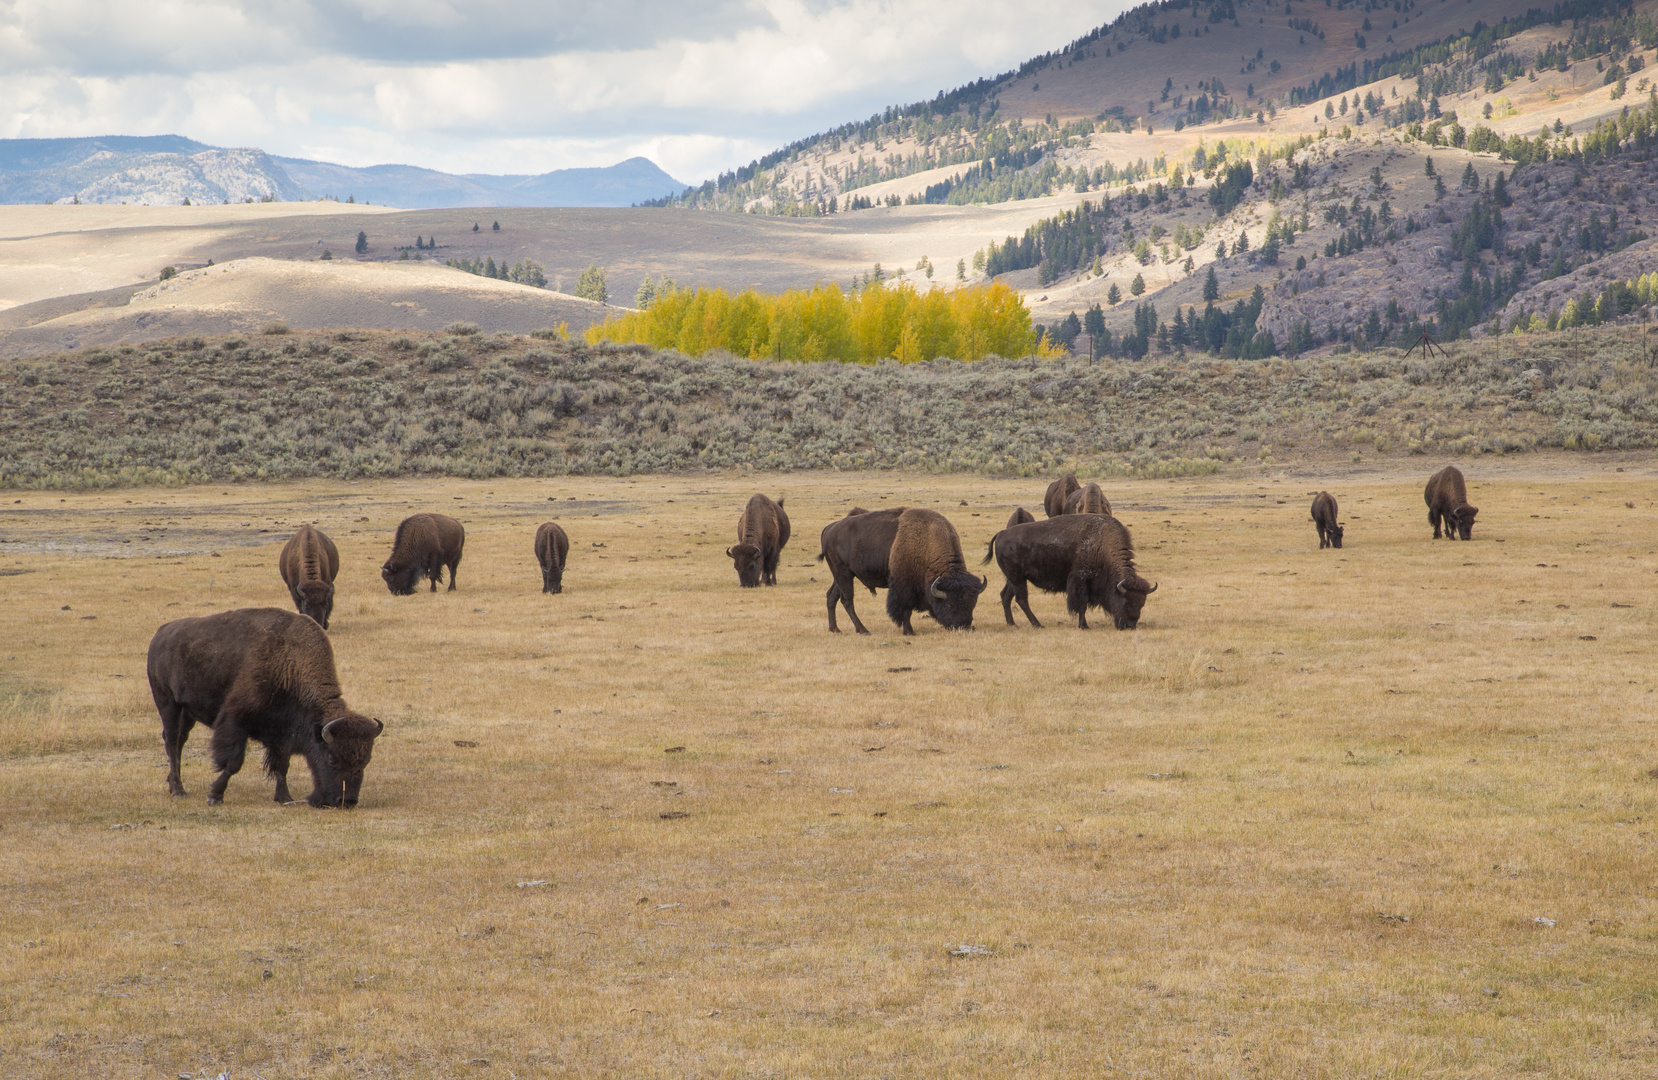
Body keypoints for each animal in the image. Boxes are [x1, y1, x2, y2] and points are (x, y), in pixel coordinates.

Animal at [145, 613, 384, 806]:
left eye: (366, 760)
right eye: (332, 758)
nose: (346, 801)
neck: (288, 661)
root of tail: (161, 632)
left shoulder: (282, 734)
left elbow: (282, 765)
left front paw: (284, 798)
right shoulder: (235, 720)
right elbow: (234, 762)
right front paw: (214, 795)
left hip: (187, 712)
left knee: (179, 742)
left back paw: (172, 783)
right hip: (167, 702)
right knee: (172, 740)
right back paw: (178, 789)